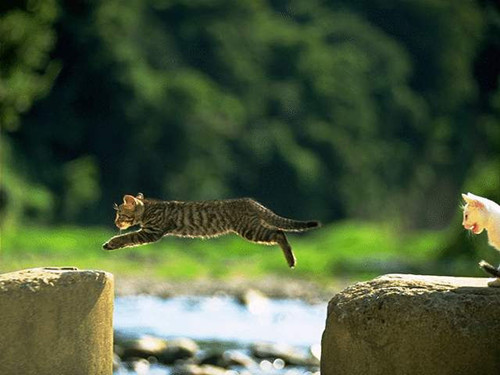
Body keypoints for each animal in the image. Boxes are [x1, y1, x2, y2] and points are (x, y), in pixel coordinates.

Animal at [102, 192, 320, 268]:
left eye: (120, 214)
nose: (115, 222)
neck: (148, 208)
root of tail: (252, 202)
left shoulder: (151, 232)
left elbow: (128, 238)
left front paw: (111, 243)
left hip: (250, 230)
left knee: (279, 233)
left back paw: (291, 260)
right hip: (254, 226)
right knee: (278, 230)